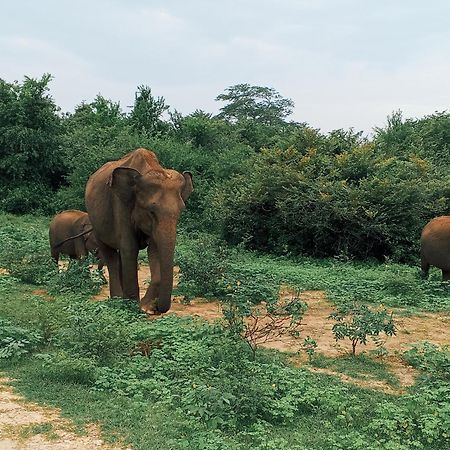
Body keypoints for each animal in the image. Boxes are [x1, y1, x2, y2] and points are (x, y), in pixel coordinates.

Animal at [84, 147, 192, 312]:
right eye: (151, 211)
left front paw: (146, 307)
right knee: (110, 255)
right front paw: (133, 306)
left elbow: (154, 249)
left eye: (181, 211)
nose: (157, 307)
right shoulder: (122, 204)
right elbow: (130, 247)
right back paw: (117, 299)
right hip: (95, 220)